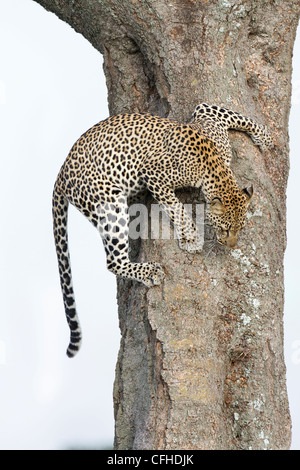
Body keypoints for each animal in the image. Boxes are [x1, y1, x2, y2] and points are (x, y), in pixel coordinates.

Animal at [52, 103, 274, 356]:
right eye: (225, 230)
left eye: (240, 228)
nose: (231, 245)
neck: (216, 170)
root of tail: (61, 172)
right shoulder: (155, 175)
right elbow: (176, 206)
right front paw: (191, 238)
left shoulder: (206, 113)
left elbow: (236, 117)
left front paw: (265, 137)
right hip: (109, 204)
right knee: (113, 261)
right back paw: (149, 271)